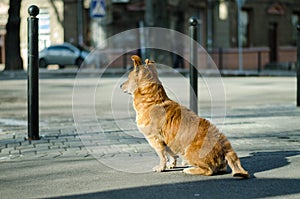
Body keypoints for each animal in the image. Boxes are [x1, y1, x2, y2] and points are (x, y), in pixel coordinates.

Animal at [120, 55, 250, 178]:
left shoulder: (154, 139)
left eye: (128, 78)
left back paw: (189, 169)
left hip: (189, 152)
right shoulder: (168, 140)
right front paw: (172, 164)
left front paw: (161, 167)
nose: (120, 85)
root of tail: (224, 146)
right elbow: (171, 153)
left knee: (208, 170)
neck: (152, 100)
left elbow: (162, 155)